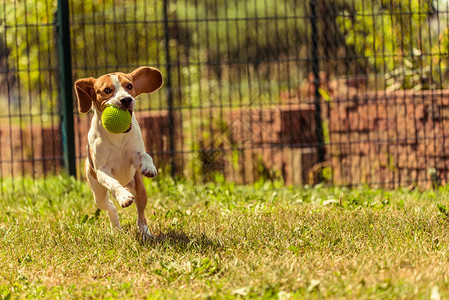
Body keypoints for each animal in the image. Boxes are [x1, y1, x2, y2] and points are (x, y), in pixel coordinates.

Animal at [73, 67, 163, 238]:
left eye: (129, 86)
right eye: (107, 90)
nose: (126, 99)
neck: (118, 135)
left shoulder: (135, 155)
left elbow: (145, 155)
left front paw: (149, 167)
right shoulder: (102, 171)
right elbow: (112, 183)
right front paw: (123, 197)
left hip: (139, 187)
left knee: (141, 214)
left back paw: (145, 232)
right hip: (98, 193)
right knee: (110, 206)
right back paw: (116, 225)